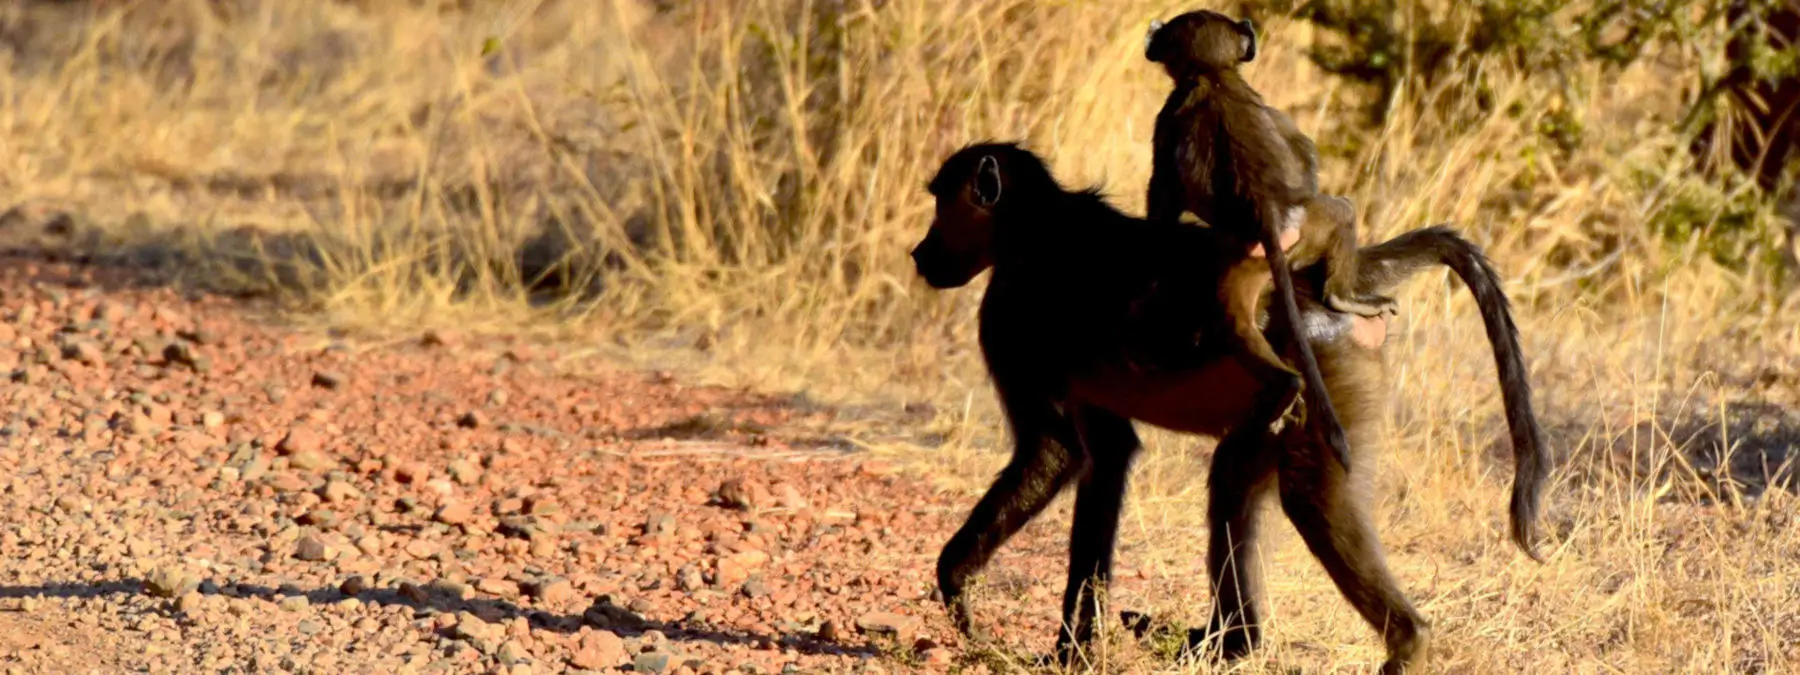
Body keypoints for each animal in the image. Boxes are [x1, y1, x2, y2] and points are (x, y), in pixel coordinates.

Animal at [909, 142, 1550, 674]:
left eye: (941, 205)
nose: (920, 252)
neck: (1033, 225)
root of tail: (1327, 287)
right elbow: (1108, 456)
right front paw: (1073, 654)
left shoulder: (1006, 315)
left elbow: (1054, 448)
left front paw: (957, 586)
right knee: (1235, 478)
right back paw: (1233, 643)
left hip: (1325, 382)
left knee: (1306, 492)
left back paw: (1406, 642)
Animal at [1140, 10, 1395, 475]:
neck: (1213, 74)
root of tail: (1271, 220)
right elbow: (1303, 157)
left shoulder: (1168, 119)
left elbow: (1161, 206)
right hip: (1293, 236)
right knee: (1341, 211)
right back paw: (1339, 302)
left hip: (1245, 259)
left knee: (1234, 323)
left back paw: (1287, 384)